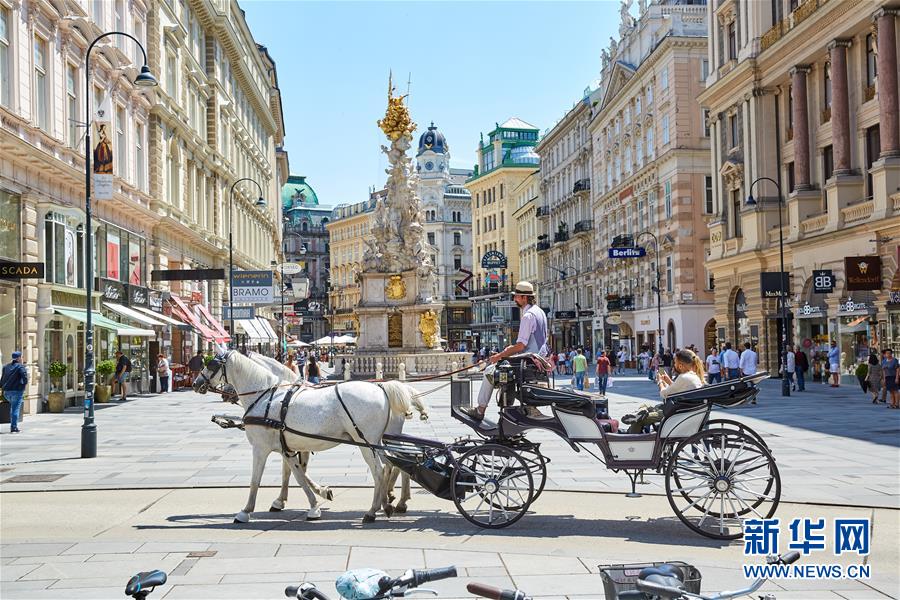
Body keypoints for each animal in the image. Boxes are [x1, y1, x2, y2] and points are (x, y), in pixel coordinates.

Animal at [194, 344, 418, 524]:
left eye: (210, 364)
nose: (196, 384)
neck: (265, 395)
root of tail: (381, 387)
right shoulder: (288, 447)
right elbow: (296, 475)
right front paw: (312, 501)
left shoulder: (260, 447)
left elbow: (257, 480)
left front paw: (245, 511)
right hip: (377, 441)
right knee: (394, 464)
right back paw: (390, 502)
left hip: (367, 441)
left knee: (381, 471)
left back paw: (374, 510)